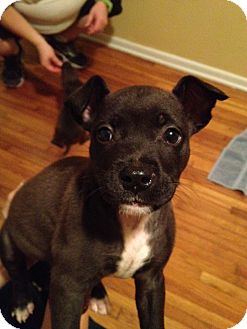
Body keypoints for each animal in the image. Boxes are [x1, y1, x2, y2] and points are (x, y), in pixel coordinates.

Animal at [0, 64, 228, 328]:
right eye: (104, 134)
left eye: (172, 135)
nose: (137, 177)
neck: (131, 220)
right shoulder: (68, 287)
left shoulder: (152, 280)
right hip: (9, 240)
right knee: (17, 271)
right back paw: (22, 301)